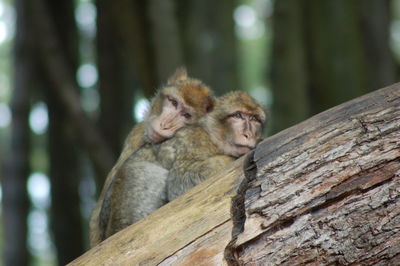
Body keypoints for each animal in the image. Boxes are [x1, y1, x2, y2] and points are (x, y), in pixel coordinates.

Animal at [101, 91, 266, 239]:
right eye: (237, 115)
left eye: (254, 119)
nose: (248, 135)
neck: (214, 138)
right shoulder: (194, 140)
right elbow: (180, 181)